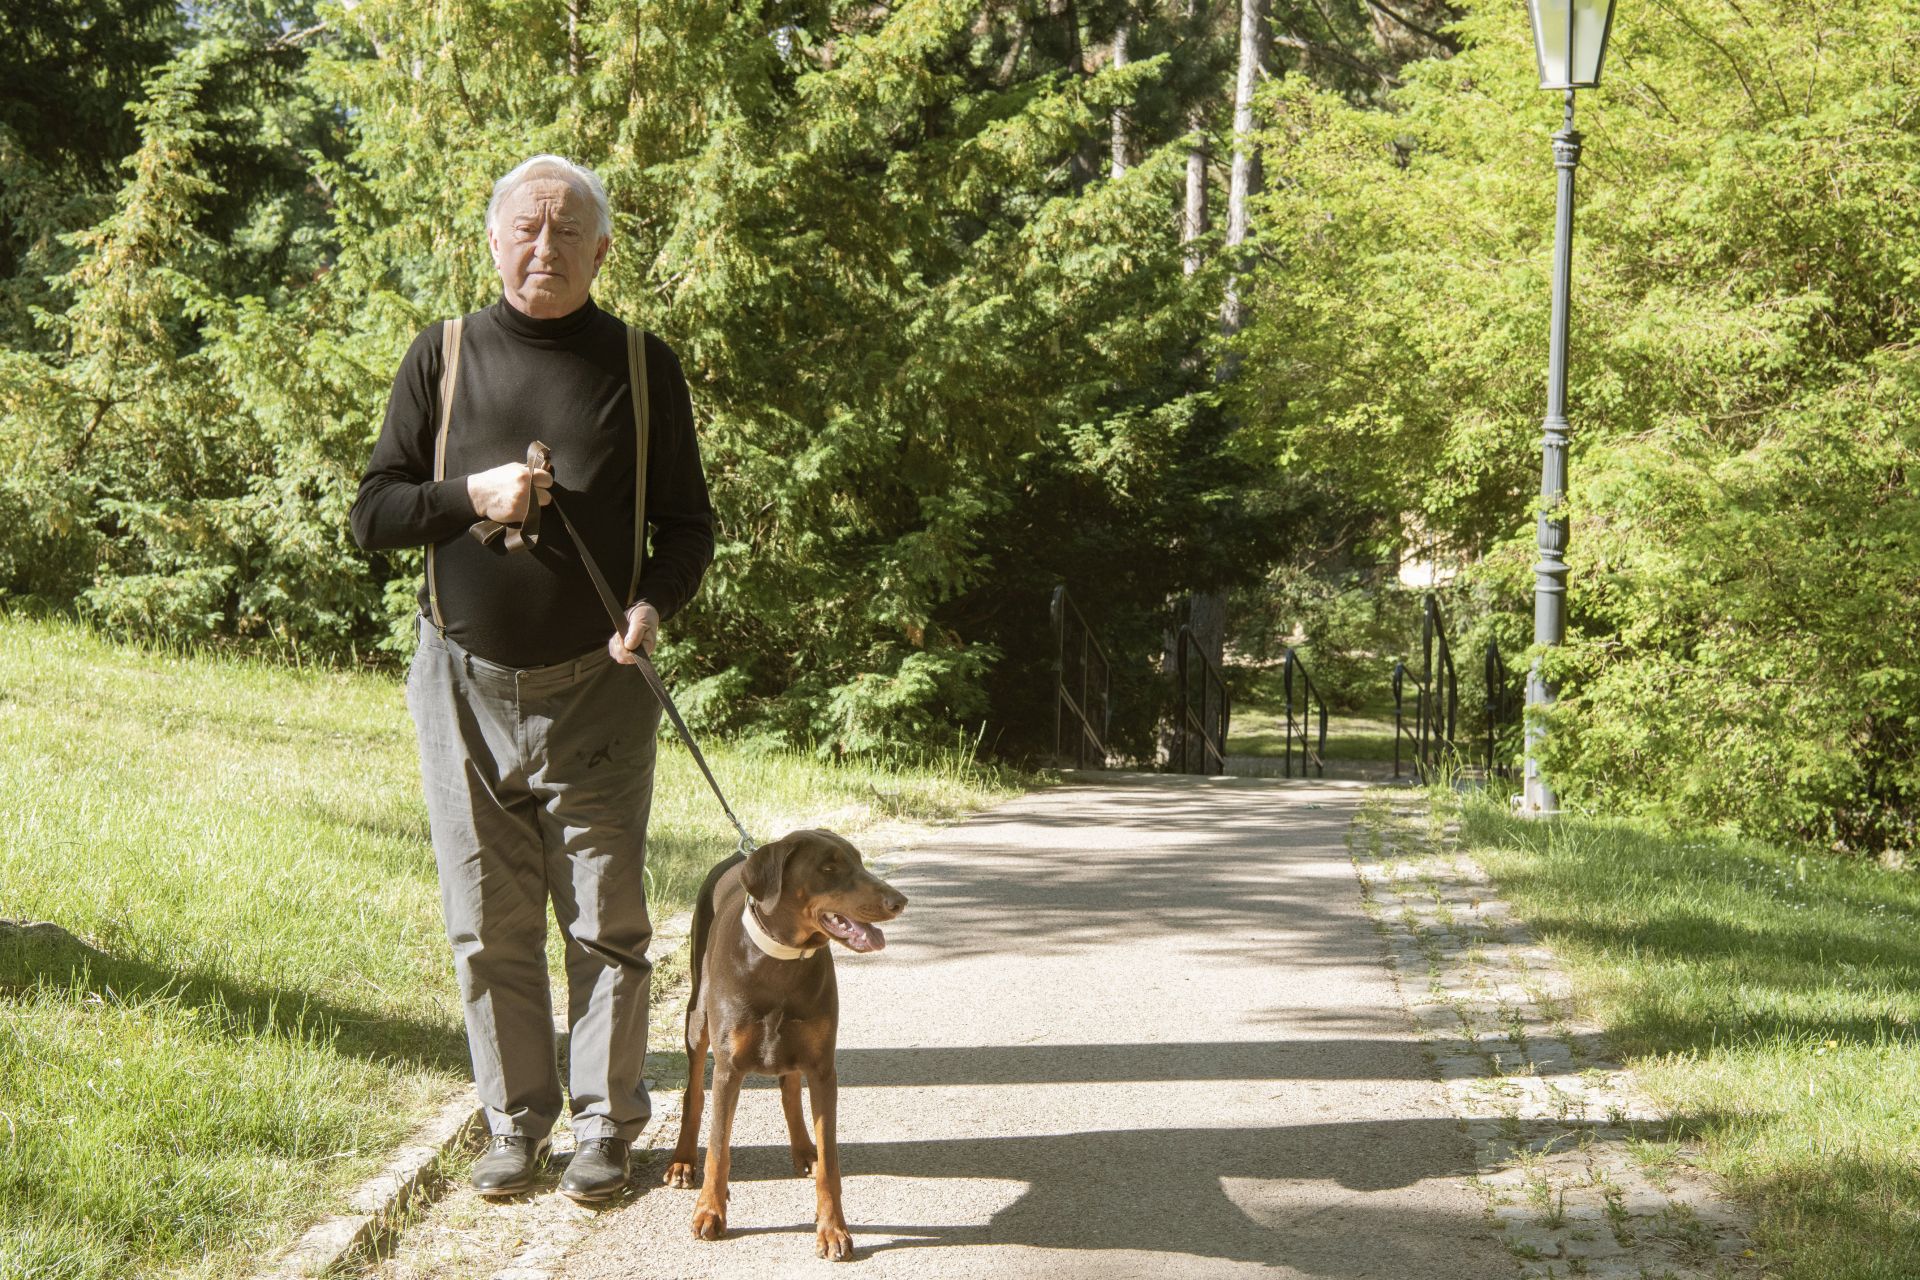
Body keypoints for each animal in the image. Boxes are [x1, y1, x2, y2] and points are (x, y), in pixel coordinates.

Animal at [668, 832, 906, 1258]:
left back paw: (803, 1149)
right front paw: (710, 1211)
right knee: (693, 1093)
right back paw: (682, 1161)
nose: (898, 900)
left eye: (860, 862)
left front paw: (833, 1229)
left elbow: (830, 1162)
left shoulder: (824, 1068)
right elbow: (718, 1148)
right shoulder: (728, 1069)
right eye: (828, 868)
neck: (781, 961)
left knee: (790, 1089)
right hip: (697, 1018)